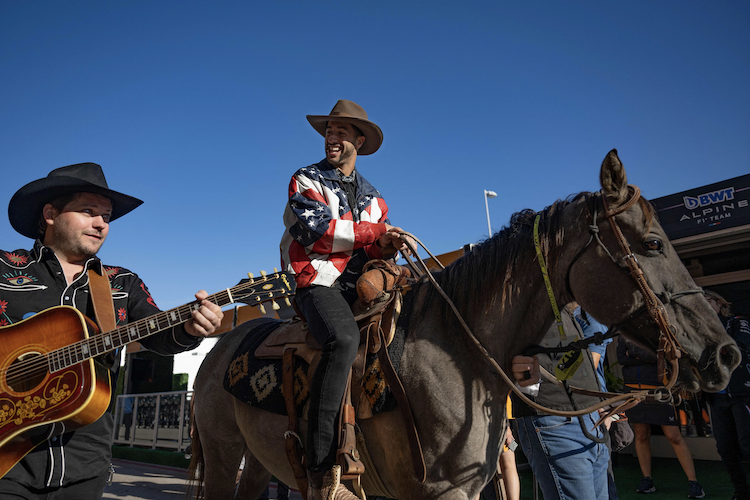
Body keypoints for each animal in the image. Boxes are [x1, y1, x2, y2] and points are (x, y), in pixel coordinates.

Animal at [188, 150, 740, 498]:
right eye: (653, 243)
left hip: (259, 462)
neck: (459, 351)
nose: (727, 353)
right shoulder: (443, 491)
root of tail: (221, 343)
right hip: (223, 454)